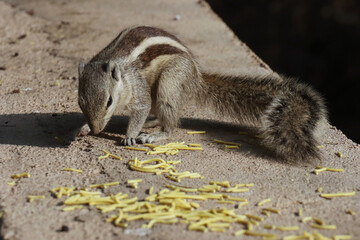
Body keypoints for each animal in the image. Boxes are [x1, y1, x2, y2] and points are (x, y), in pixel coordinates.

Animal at [77, 26, 328, 159]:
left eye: (109, 101)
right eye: (80, 103)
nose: (97, 130)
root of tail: (196, 79)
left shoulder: (138, 89)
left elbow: (141, 107)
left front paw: (130, 135)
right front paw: (84, 127)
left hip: (170, 81)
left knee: (170, 119)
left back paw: (155, 133)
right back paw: (151, 124)